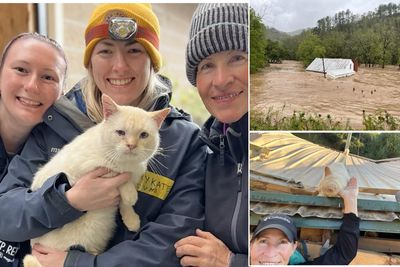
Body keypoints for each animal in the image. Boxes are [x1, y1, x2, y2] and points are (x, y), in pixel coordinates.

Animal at [23, 94, 170, 267]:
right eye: (120, 132)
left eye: (144, 135)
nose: (131, 145)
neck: (128, 164)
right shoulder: (81, 169)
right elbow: (116, 173)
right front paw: (130, 193)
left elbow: (124, 203)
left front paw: (131, 219)